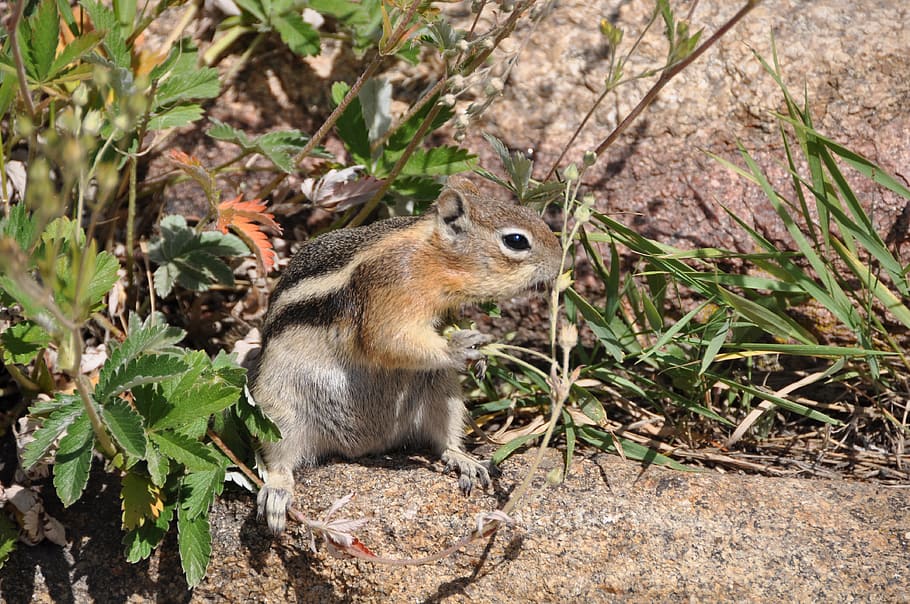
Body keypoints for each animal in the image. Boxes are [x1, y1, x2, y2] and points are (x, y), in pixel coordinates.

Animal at [248, 175, 562, 533]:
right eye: (516, 240)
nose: (560, 260)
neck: (433, 257)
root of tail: (363, 447)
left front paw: (480, 353)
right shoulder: (392, 289)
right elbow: (387, 339)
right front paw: (459, 347)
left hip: (441, 392)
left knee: (444, 439)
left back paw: (464, 459)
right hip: (277, 408)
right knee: (280, 460)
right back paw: (277, 493)